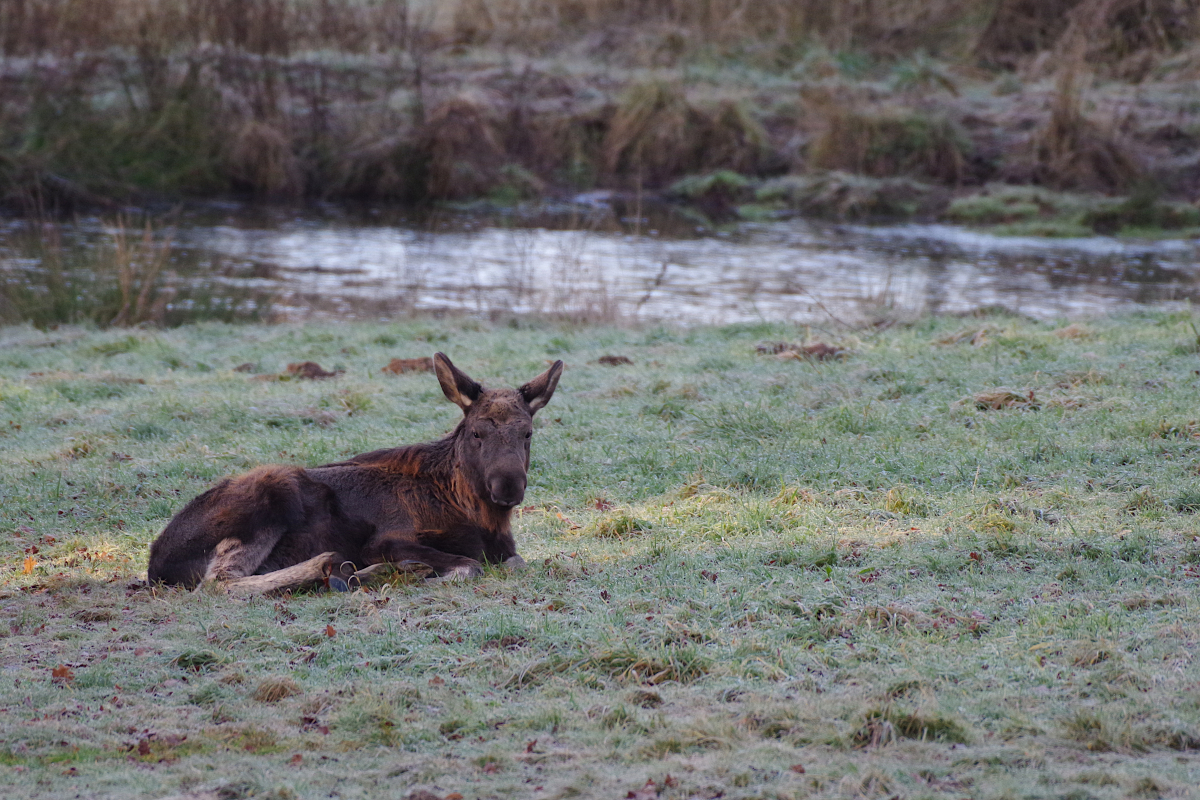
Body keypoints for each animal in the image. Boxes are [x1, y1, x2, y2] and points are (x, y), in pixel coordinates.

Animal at [146, 352, 561, 594]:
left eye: (527, 433)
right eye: (477, 433)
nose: (508, 487)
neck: (477, 514)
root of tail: (155, 565)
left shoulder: (507, 549)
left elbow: (516, 562)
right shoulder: (387, 539)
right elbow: (470, 565)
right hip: (272, 489)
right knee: (219, 583)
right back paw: (342, 569)